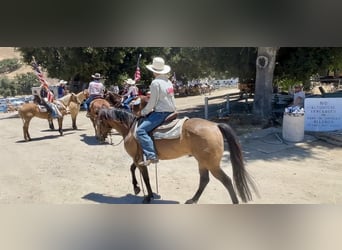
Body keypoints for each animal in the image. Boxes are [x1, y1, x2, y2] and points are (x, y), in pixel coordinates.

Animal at [95, 107, 258, 203]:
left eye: (99, 122)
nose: (98, 137)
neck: (130, 128)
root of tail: (215, 125)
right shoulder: (139, 158)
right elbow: (132, 169)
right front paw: (137, 189)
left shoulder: (138, 159)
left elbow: (145, 177)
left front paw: (147, 196)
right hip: (202, 161)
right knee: (204, 180)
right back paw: (193, 199)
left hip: (212, 164)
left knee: (227, 181)